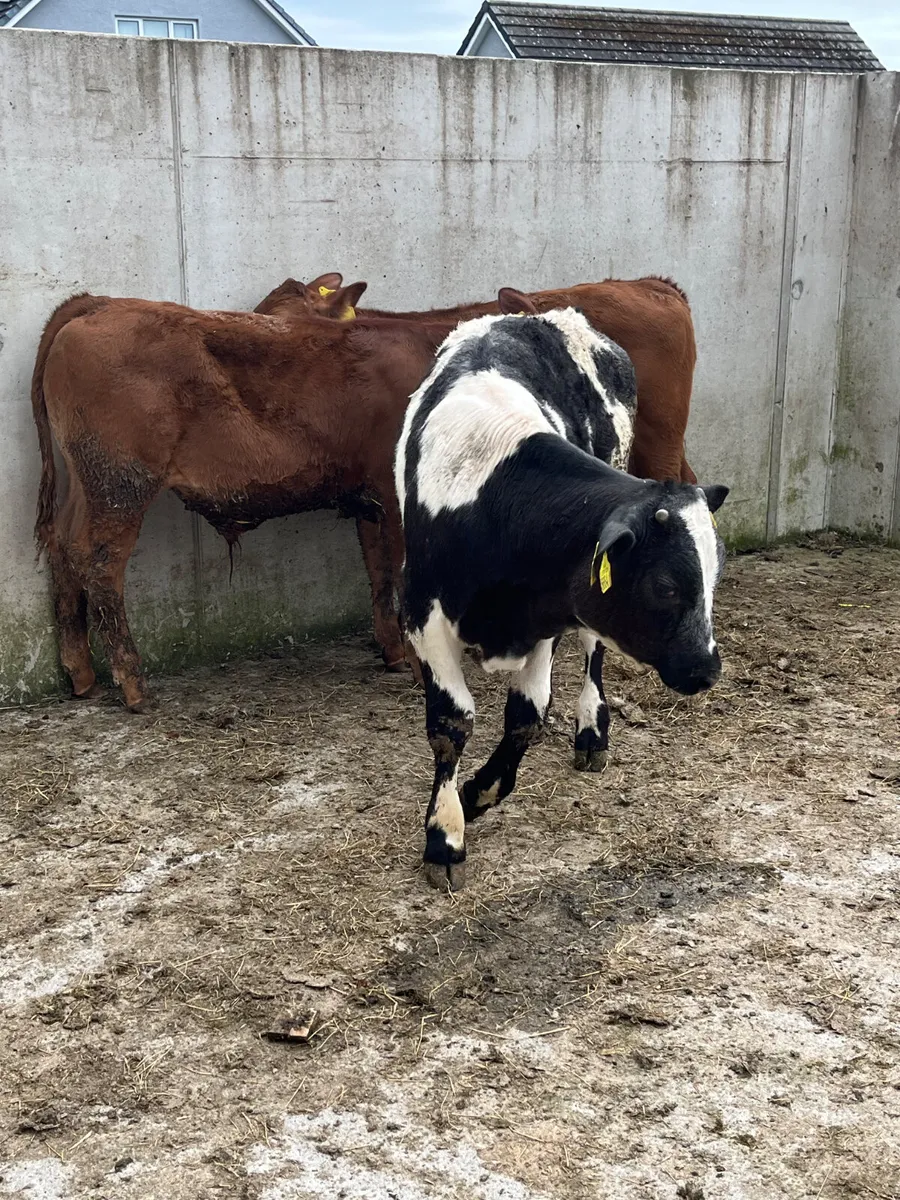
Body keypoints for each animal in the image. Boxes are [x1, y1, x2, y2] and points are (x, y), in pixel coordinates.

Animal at [31, 294, 456, 709]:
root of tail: (101, 302)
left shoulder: (372, 499)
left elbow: (379, 571)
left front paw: (395, 655)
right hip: (121, 485)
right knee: (100, 564)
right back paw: (134, 687)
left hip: (87, 484)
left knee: (63, 547)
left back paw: (82, 676)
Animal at [395, 290, 729, 891]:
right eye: (666, 585)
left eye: (715, 578)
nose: (706, 669)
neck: (494, 501)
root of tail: (548, 315)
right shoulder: (420, 613)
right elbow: (452, 722)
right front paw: (445, 837)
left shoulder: (551, 616)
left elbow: (526, 717)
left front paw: (478, 794)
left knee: (593, 653)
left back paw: (592, 730)